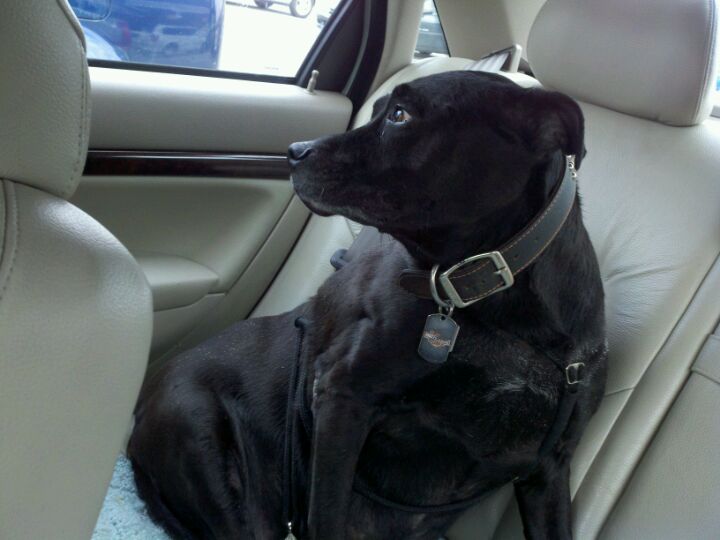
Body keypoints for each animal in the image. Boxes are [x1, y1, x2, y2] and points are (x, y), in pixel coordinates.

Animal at [128, 71, 607, 540]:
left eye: (399, 114)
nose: (294, 151)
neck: (489, 304)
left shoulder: (548, 466)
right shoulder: (342, 397)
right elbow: (326, 516)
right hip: (201, 438)